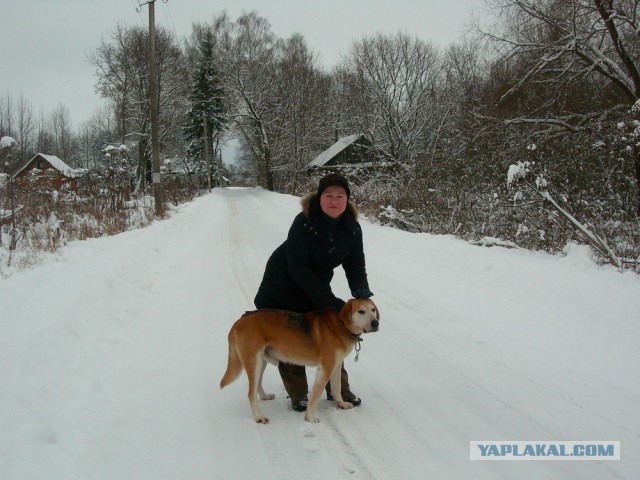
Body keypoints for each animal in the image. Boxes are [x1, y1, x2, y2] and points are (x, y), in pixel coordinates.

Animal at [220, 300, 380, 424]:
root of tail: (238, 322)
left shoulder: (336, 365)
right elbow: (315, 396)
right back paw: (259, 417)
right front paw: (310, 418)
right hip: (254, 361)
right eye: (361, 311)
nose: (375, 323)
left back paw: (264, 397)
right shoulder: (325, 368)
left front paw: (341, 404)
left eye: (373, 309)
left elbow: (336, 388)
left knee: (257, 385)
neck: (341, 324)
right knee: (250, 393)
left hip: (260, 362)